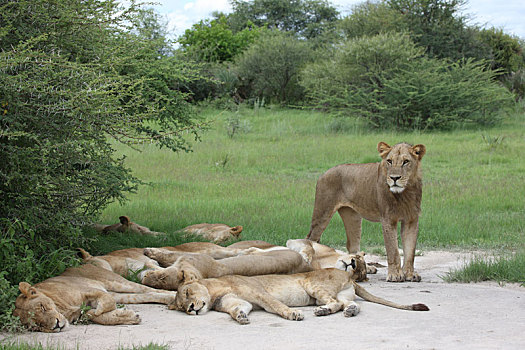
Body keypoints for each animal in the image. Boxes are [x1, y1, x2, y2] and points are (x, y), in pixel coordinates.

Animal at [13, 264, 176, 332]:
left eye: (42, 307)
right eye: (36, 325)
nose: (56, 325)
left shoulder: (89, 290)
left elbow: (103, 306)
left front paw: (100, 310)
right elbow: (101, 317)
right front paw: (129, 316)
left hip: (116, 282)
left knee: (151, 289)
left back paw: (174, 297)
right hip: (122, 295)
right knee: (147, 295)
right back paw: (170, 300)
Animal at [308, 142, 426, 282]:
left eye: (406, 161)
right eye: (389, 161)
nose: (394, 178)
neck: (406, 192)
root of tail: (324, 173)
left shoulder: (411, 220)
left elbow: (410, 251)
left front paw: (409, 274)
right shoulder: (388, 219)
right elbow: (393, 250)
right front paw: (395, 275)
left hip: (353, 217)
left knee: (352, 245)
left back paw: (365, 267)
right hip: (322, 213)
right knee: (310, 238)